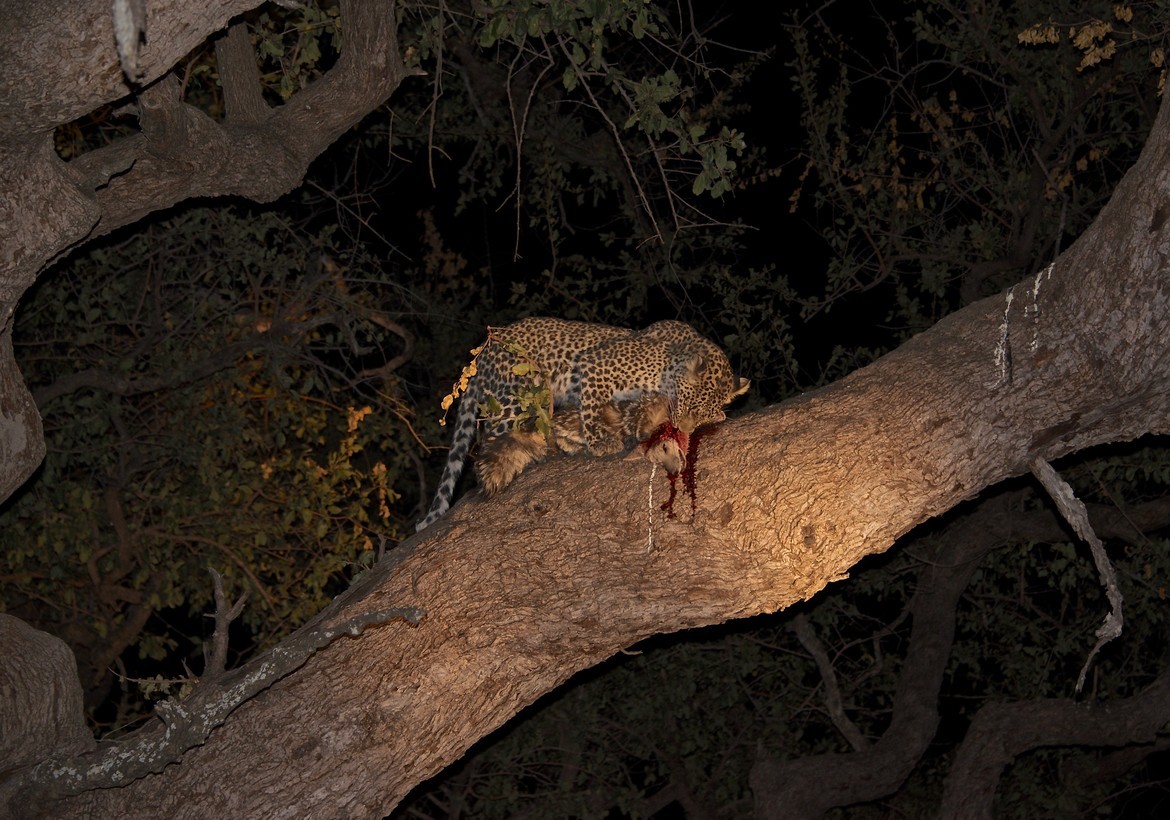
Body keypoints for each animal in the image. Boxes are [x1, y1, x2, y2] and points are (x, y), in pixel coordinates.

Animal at [415, 316, 749, 531]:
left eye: (705, 417)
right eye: (691, 406)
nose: (685, 429)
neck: (667, 366)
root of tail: (483, 355)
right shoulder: (594, 365)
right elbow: (591, 406)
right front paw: (599, 442)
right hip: (516, 393)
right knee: (493, 437)